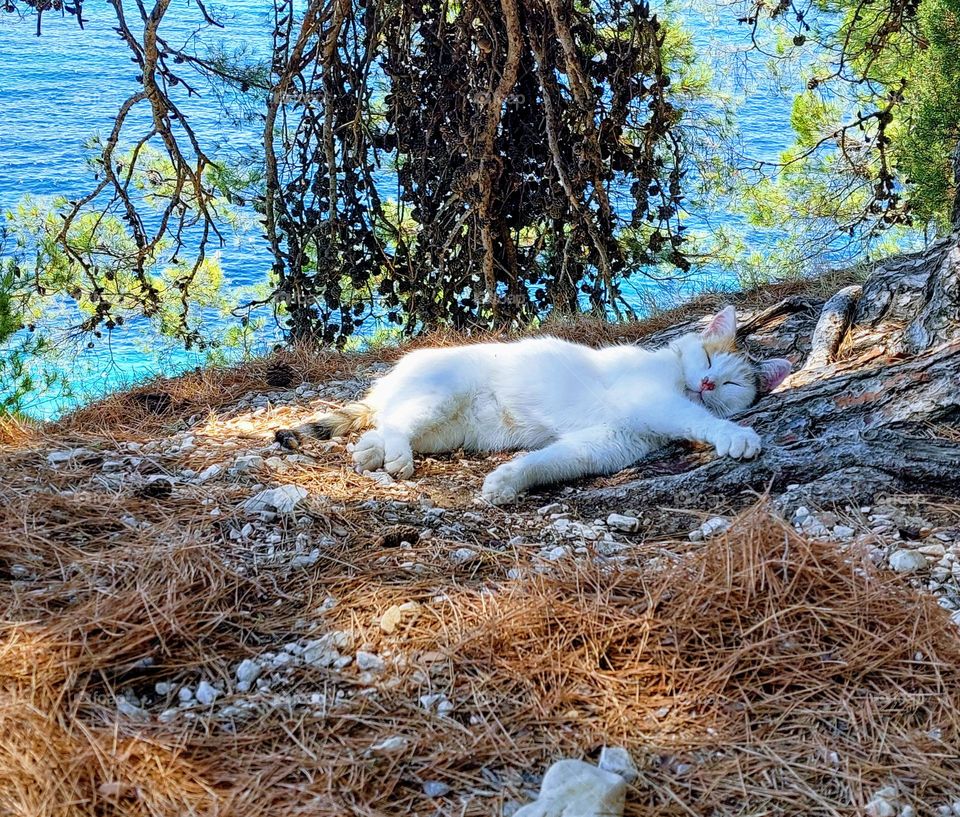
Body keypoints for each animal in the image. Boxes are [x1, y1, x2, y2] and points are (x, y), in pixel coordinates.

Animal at [276, 304, 788, 504]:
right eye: (708, 359)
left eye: (729, 384)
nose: (706, 382)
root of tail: (387, 380)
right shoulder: (656, 402)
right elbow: (696, 419)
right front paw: (736, 436)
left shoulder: (605, 444)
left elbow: (551, 461)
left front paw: (508, 481)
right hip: (439, 396)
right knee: (395, 423)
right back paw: (393, 455)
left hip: (445, 430)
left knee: (381, 425)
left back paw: (373, 451)